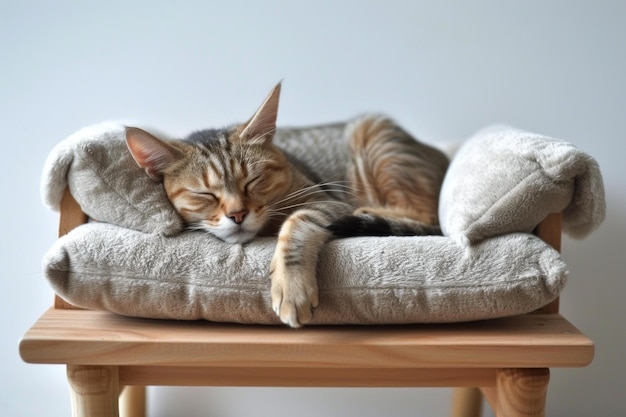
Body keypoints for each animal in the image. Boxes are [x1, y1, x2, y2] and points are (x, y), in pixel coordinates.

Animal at [125, 83, 448, 326]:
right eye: (205, 194)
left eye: (252, 181)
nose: (237, 214)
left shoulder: (326, 201)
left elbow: (297, 223)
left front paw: (292, 289)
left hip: (376, 139)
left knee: (422, 215)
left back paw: (370, 210)